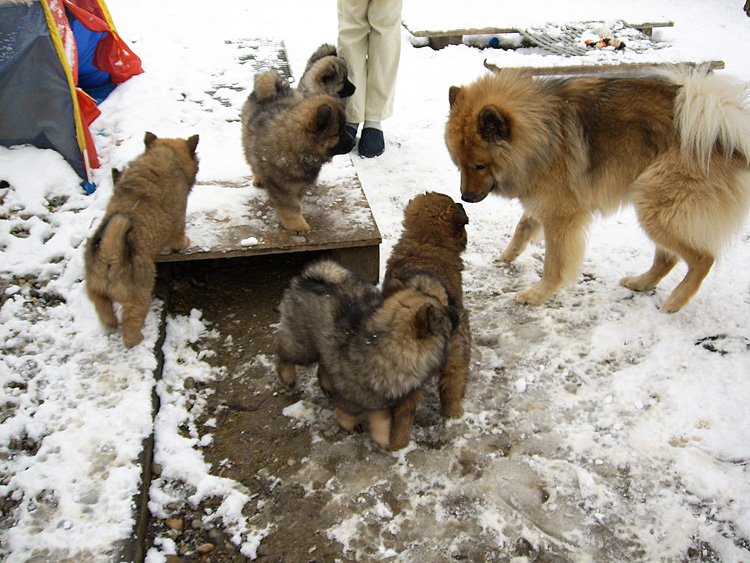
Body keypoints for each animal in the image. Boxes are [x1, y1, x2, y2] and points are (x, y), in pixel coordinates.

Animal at [85, 133, 200, 348]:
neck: (164, 155)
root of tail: (109, 255)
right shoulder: (179, 217)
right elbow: (179, 238)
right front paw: (185, 243)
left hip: (96, 292)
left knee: (105, 313)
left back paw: (111, 325)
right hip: (139, 294)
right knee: (131, 324)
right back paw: (137, 339)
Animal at [242, 71, 356, 234]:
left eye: (344, 128)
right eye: (337, 133)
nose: (353, 143)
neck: (298, 149)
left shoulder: (300, 183)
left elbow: (298, 202)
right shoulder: (283, 186)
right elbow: (291, 208)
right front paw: (298, 225)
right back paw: (259, 178)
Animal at [274, 260, 456, 450]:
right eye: (446, 315)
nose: (456, 311)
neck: (386, 346)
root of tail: (309, 278)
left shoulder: (380, 399)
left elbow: (381, 419)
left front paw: (382, 440)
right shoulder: (352, 394)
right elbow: (346, 410)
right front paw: (349, 423)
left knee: (323, 363)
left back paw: (327, 385)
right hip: (303, 345)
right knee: (283, 351)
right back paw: (287, 376)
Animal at [444, 67, 750, 312]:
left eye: (480, 165)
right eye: (458, 164)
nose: (466, 197)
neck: (545, 131)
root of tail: (724, 133)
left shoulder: (561, 214)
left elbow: (553, 263)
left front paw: (538, 294)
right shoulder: (544, 199)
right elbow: (524, 226)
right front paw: (509, 254)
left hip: (656, 207)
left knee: (703, 259)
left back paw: (675, 301)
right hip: (659, 209)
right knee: (668, 257)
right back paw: (641, 283)